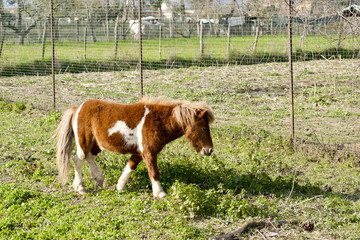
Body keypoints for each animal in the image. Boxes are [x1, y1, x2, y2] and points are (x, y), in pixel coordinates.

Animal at [55, 98, 214, 199]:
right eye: (204, 128)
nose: (209, 150)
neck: (157, 120)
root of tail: (77, 108)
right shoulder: (149, 152)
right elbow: (153, 172)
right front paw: (160, 193)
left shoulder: (140, 152)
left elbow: (130, 167)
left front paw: (120, 186)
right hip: (84, 142)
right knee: (78, 160)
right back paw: (80, 187)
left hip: (96, 144)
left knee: (89, 157)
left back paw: (98, 179)